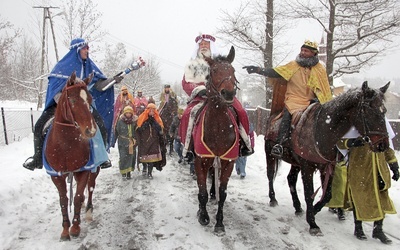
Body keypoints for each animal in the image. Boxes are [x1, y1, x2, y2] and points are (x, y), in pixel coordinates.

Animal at [44, 72, 98, 240]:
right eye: (73, 100)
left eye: (90, 100)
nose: (91, 130)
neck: (65, 144)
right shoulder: (56, 175)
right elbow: (63, 200)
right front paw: (65, 229)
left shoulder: (84, 170)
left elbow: (78, 196)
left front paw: (75, 227)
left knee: (91, 186)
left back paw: (88, 211)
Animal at [192, 46, 239, 234]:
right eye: (213, 71)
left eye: (233, 70)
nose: (228, 93)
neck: (219, 128)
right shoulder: (201, 160)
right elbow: (201, 191)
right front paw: (203, 216)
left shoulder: (228, 162)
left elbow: (223, 193)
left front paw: (219, 222)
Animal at [266, 81, 390, 235]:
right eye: (369, 112)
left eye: (384, 111)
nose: (383, 145)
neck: (323, 129)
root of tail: (273, 116)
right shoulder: (308, 167)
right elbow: (309, 193)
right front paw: (313, 223)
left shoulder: (327, 167)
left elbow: (328, 194)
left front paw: (314, 210)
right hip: (270, 153)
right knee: (270, 175)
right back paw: (273, 199)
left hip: (296, 163)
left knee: (291, 179)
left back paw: (298, 207)